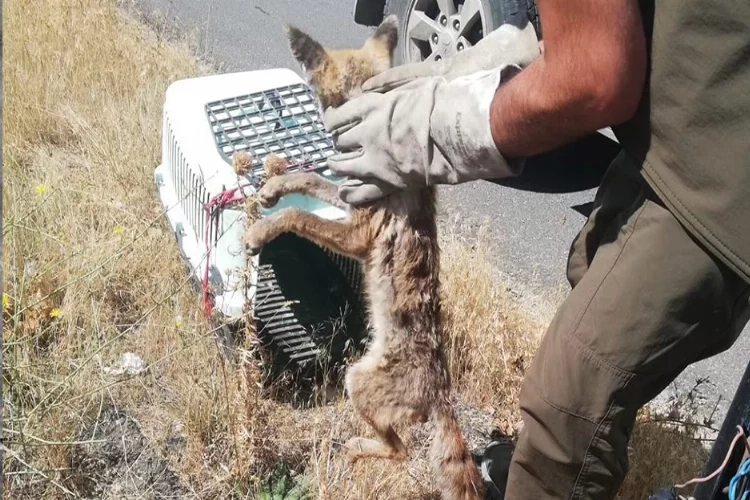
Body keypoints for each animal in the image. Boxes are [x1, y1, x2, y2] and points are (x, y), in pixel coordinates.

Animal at [242, 15, 488, 500]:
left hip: (355, 382)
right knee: (401, 448)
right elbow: (307, 180)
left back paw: (355, 450)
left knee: (401, 451)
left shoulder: (357, 235)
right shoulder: (344, 195)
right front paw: (273, 186)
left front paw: (261, 230)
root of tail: (441, 392)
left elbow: (297, 214)